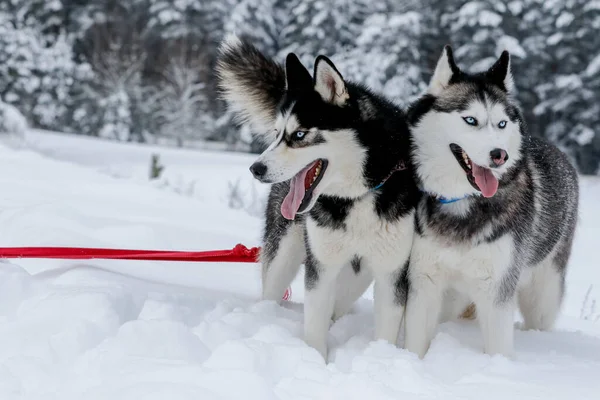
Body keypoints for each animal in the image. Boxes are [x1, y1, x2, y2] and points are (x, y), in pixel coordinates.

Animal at [216, 36, 418, 358]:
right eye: (276, 133)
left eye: (299, 135)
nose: (256, 169)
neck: (357, 196)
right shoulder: (321, 267)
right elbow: (314, 326)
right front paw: (313, 360)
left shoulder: (391, 272)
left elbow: (385, 330)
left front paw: (382, 359)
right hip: (284, 253)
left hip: (355, 278)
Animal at [406, 45, 580, 358]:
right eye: (470, 120)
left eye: (501, 124)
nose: (500, 155)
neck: (463, 202)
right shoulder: (424, 283)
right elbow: (415, 343)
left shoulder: (497, 290)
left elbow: (498, 349)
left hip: (542, 293)